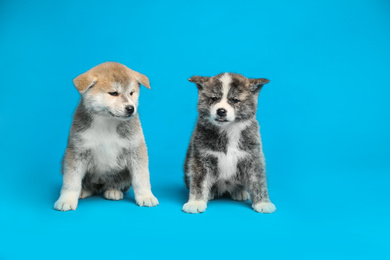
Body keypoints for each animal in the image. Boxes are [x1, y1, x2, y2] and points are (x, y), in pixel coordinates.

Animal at [54, 61, 159, 211]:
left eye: (131, 93)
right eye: (113, 93)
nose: (131, 108)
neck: (107, 122)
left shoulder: (136, 149)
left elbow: (141, 177)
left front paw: (146, 196)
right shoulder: (77, 151)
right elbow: (71, 180)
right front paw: (66, 199)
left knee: (116, 183)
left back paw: (113, 190)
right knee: (88, 186)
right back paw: (84, 191)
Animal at [184, 72, 278, 213]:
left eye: (234, 100)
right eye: (214, 98)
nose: (221, 111)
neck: (228, 129)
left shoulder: (253, 157)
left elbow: (258, 181)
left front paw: (263, 203)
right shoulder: (201, 157)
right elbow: (199, 181)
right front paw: (196, 202)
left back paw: (240, 191)